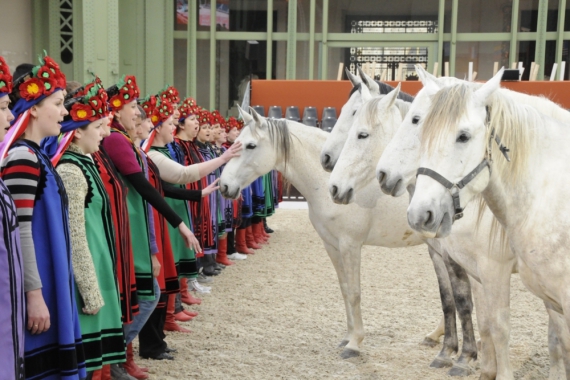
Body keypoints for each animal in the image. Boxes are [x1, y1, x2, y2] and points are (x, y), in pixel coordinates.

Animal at [374, 67, 568, 378]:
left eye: (463, 136)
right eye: (424, 126)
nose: (383, 175)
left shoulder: (494, 268)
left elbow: (498, 325)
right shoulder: (467, 263)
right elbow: (477, 315)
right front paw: (479, 366)